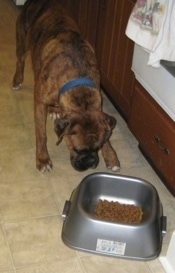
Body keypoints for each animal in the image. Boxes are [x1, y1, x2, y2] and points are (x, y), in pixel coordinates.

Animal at [13, 0, 121, 172]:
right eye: (77, 150)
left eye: (98, 147)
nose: (91, 163)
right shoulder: (39, 102)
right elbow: (41, 133)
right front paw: (43, 159)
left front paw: (110, 156)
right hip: (22, 39)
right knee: (20, 60)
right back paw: (17, 80)